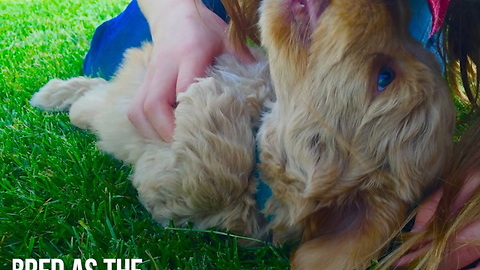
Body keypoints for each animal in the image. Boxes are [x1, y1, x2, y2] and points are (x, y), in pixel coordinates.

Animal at [31, 0, 456, 268]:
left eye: (384, 78)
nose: (399, 6)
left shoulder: (172, 192)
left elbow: (213, 174)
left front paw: (209, 101)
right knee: (94, 91)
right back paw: (54, 92)